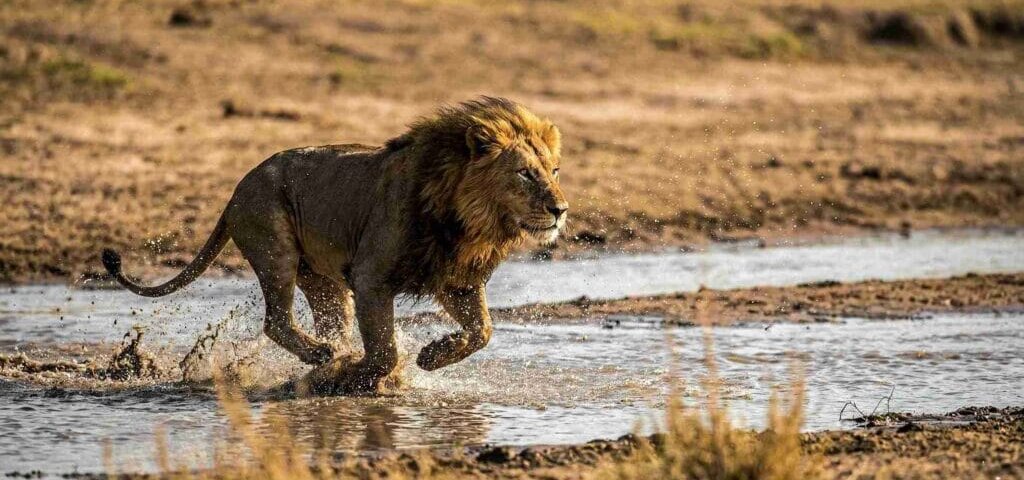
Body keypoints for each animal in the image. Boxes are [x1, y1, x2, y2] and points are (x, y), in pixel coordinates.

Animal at [101, 97, 568, 394]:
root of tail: (235, 191)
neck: (467, 223)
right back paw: (324, 356)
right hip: (275, 250)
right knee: (276, 321)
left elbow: (482, 332)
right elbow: (385, 349)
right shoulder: (371, 277)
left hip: (322, 281)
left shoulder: (458, 282)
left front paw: (431, 357)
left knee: (323, 321)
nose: (561, 209)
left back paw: (330, 357)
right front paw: (360, 376)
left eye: (555, 170)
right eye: (525, 173)